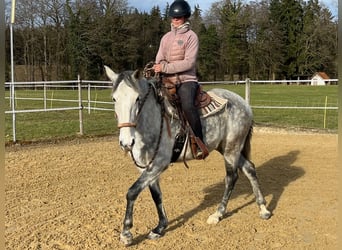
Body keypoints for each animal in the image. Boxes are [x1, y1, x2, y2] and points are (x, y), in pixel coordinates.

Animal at [104, 65, 270, 245]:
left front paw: (126, 233)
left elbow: (132, 192)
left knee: (231, 178)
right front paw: (160, 227)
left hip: (231, 150)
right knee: (250, 169)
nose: (126, 142)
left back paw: (218, 214)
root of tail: (243, 103)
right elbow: (156, 195)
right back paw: (263, 209)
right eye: (114, 99)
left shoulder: (159, 164)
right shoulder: (146, 168)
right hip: (228, 148)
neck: (154, 120)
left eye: (137, 99)